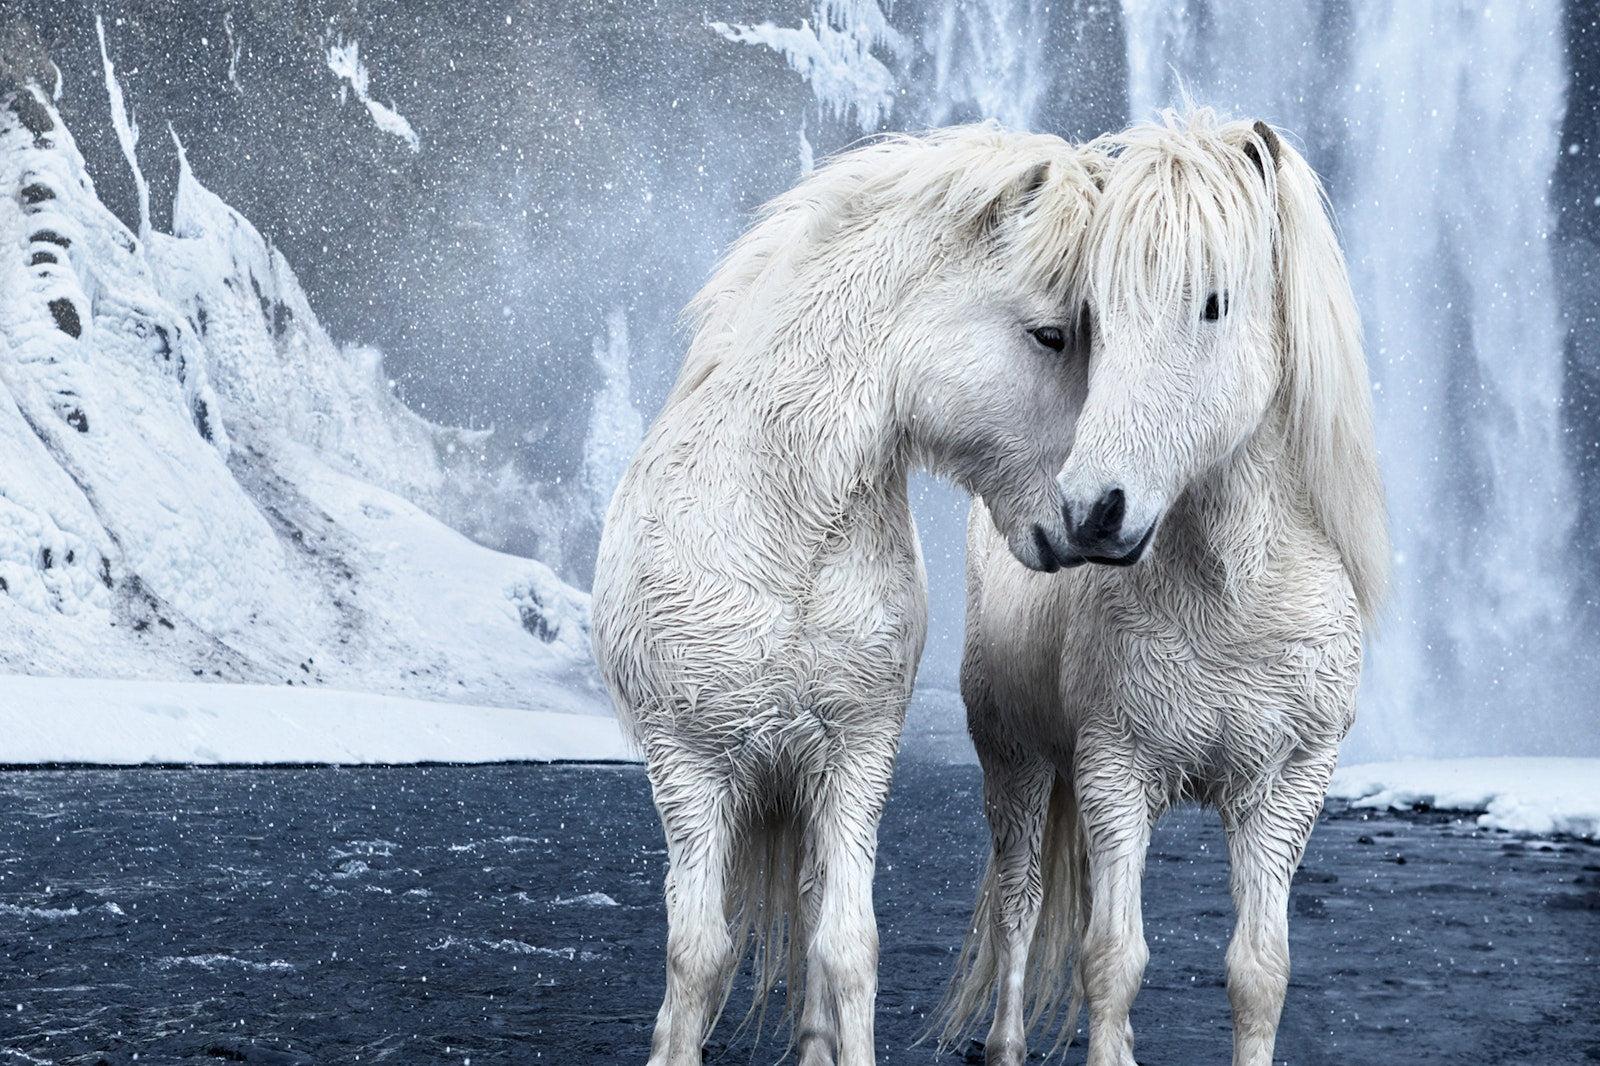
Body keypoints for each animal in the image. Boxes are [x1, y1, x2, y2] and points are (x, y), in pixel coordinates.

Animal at [590, 126, 1105, 1066]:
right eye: (1052, 335)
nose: (1094, 518)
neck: (780, 533)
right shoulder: (689, 767)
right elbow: (698, 953)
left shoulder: (856, 759)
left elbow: (846, 944)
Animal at [938, 110, 1389, 1066]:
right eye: (1095, 315)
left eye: (1213, 302)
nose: (1091, 510)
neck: (1235, 599)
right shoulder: (1116, 773)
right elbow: (1113, 961)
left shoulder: (1285, 792)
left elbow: (1259, 972)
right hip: (1016, 765)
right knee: (1020, 910)